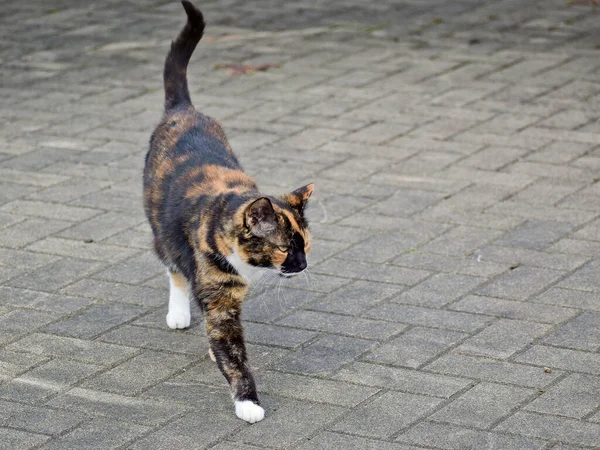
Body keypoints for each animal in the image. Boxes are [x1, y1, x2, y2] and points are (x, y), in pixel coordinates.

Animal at [142, 0, 314, 422]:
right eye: (284, 248)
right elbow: (232, 352)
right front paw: (247, 401)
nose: (302, 265)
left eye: (306, 245)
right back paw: (179, 312)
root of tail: (185, 109)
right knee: (173, 268)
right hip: (160, 232)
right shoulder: (218, 297)